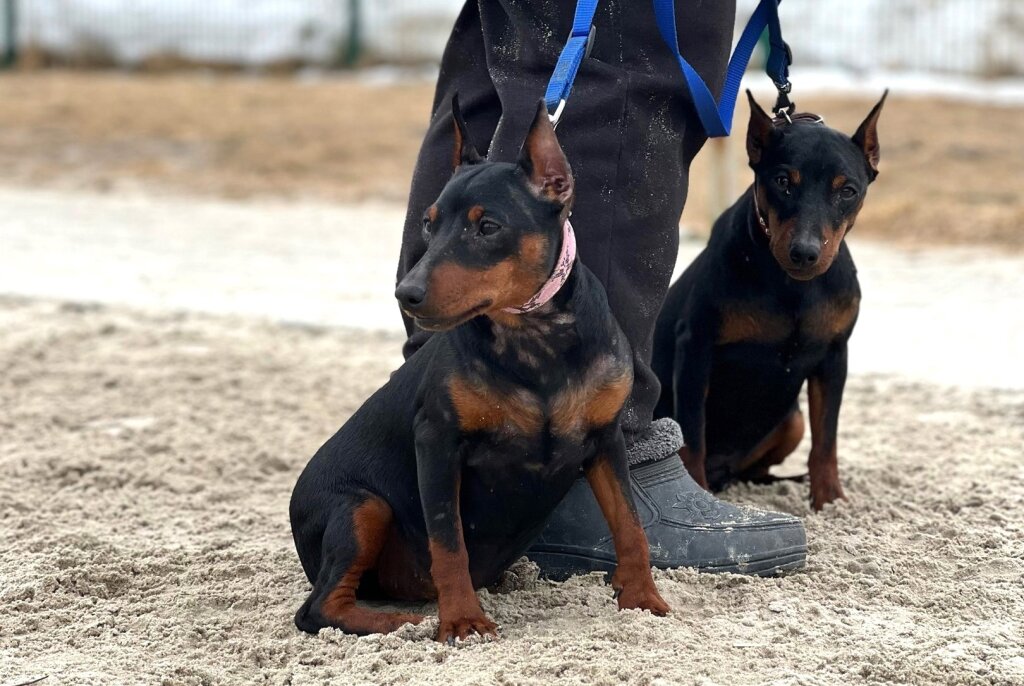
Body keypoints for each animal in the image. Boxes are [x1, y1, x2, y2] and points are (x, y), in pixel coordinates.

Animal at [290, 96, 671, 647]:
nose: (406, 293)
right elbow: (449, 542)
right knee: (318, 609)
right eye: (429, 224)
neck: (534, 340)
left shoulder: (605, 439)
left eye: (487, 226)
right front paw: (463, 621)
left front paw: (642, 598)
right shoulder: (437, 442)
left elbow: (630, 524)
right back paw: (398, 622)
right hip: (362, 506)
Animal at [655, 90, 888, 509]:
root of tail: (725, 471)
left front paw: (829, 500)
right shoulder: (695, 346)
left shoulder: (834, 356)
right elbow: (691, 435)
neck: (792, 286)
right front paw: (696, 492)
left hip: (791, 421)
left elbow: (826, 439)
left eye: (847, 190)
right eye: (783, 181)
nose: (805, 253)